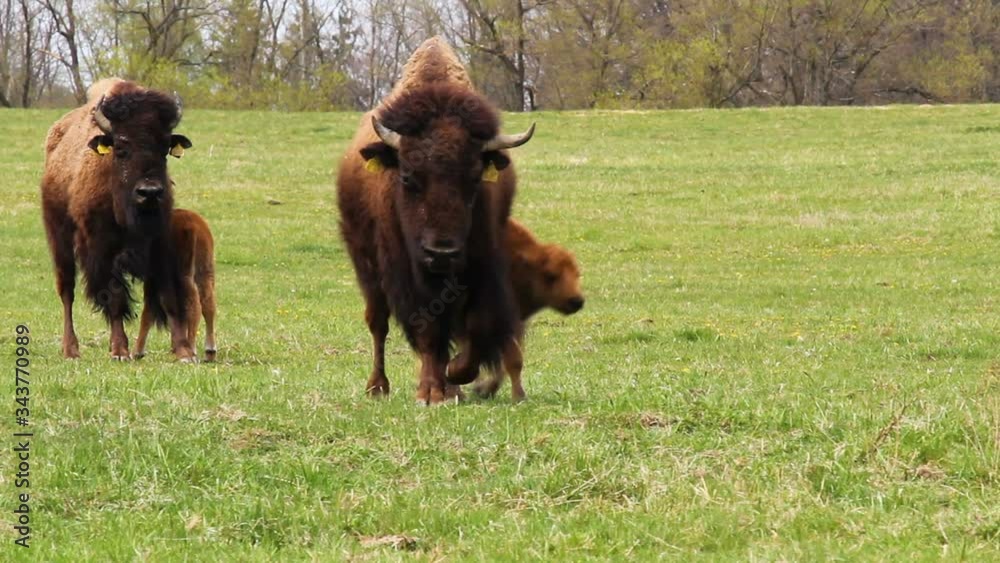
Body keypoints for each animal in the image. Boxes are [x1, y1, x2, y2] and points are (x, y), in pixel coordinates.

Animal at [40, 78, 195, 360]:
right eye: (122, 147)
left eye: (165, 147)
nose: (149, 192)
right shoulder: (102, 249)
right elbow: (114, 296)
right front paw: (120, 350)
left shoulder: (160, 244)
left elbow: (168, 294)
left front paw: (183, 351)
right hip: (59, 239)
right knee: (67, 290)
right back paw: (70, 349)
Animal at [134, 209, 217, 362]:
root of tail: (192, 224)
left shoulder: (154, 282)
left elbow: (149, 312)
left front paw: (137, 352)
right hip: (206, 273)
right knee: (208, 305)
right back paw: (209, 351)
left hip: (185, 276)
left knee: (194, 306)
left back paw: (192, 350)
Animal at [336, 37, 536, 405]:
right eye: (406, 177)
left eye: (474, 178)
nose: (441, 253)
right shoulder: (407, 274)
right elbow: (427, 329)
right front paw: (430, 392)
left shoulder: (478, 265)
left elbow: (465, 325)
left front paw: (456, 378)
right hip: (366, 264)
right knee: (378, 322)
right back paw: (378, 386)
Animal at [467, 219, 584, 402]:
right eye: (551, 275)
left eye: (577, 274)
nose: (577, 301)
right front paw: (518, 396)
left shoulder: (514, 325)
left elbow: (509, 360)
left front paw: (485, 389)